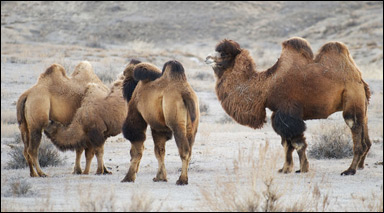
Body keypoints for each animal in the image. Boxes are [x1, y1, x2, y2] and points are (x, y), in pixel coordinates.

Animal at [207, 37, 372, 176]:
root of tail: (359, 77)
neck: (266, 86)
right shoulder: (279, 114)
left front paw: (303, 168)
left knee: (354, 128)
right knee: (365, 133)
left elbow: (297, 144)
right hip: (362, 105)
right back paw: (360, 165)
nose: (207, 58)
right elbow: (286, 144)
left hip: (352, 97)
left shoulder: (288, 114)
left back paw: (350, 170)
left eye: (224, 54)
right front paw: (285, 169)